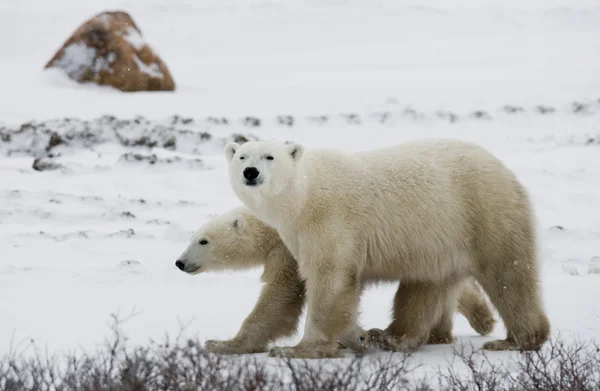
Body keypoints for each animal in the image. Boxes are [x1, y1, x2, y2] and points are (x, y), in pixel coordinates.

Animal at [225, 139, 548, 362]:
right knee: (424, 287)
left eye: (270, 156)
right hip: (438, 241)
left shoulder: (330, 222)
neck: (303, 197)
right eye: (242, 156)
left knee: (507, 273)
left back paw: (516, 340)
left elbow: (330, 280)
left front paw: (296, 350)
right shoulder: (296, 235)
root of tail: (503, 168)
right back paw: (391, 336)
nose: (250, 172)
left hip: (483, 211)